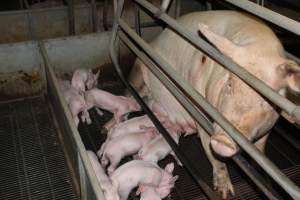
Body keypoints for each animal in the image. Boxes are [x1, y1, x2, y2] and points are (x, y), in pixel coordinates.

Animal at [130, 10, 300, 198]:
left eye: (266, 100)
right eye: (230, 84)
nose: (223, 139)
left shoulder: (268, 127)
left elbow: (261, 151)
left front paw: (265, 182)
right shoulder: (200, 108)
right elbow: (213, 155)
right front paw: (225, 193)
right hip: (137, 71)